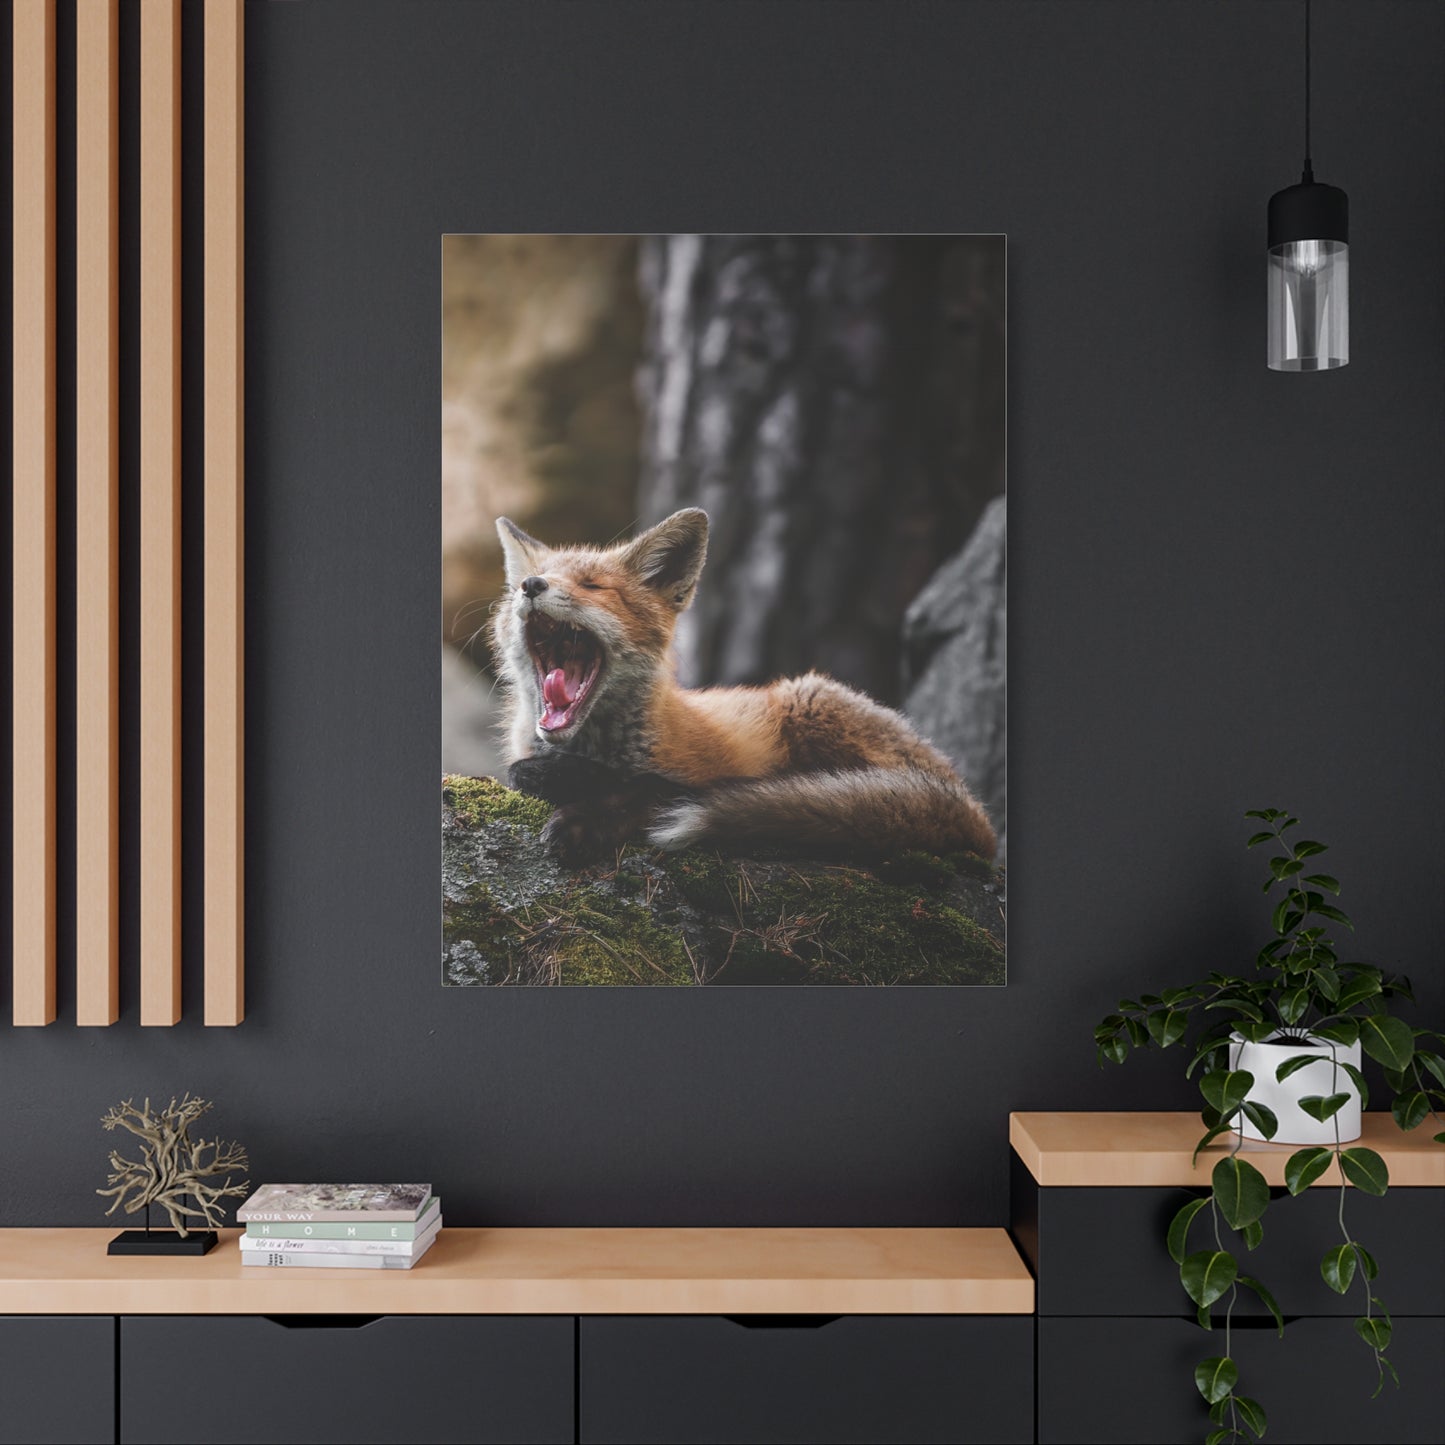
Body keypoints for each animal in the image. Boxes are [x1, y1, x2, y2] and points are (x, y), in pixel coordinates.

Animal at [490, 507, 997, 867]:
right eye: (519, 587)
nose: (531, 585)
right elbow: (524, 772)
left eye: (592, 586)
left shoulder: (698, 774)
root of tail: (974, 808)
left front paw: (583, 818)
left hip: (810, 700)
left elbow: (650, 790)